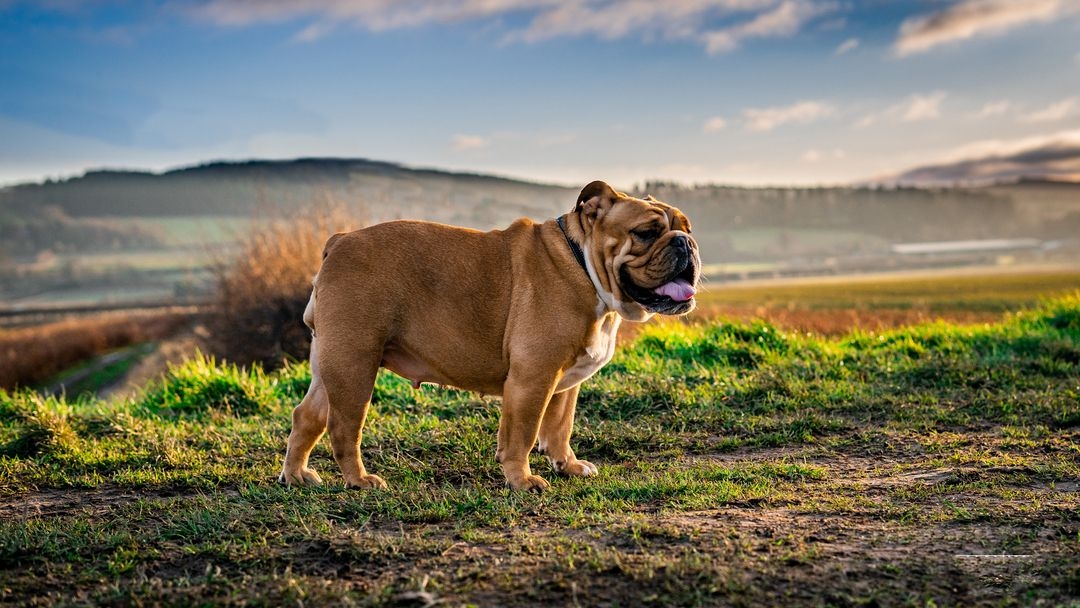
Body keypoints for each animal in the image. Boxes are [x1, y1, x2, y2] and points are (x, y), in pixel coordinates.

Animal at [278, 179, 699, 490]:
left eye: (687, 229)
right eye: (646, 233)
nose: (686, 243)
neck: (583, 265)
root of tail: (338, 241)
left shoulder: (565, 382)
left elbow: (559, 426)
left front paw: (568, 465)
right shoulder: (533, 378)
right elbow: (523, 433)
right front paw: (523, 480)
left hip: (331, 365)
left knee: (307, 416)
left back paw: (296, 475)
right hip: (355, 365)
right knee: (343, 428)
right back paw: (359, 480)